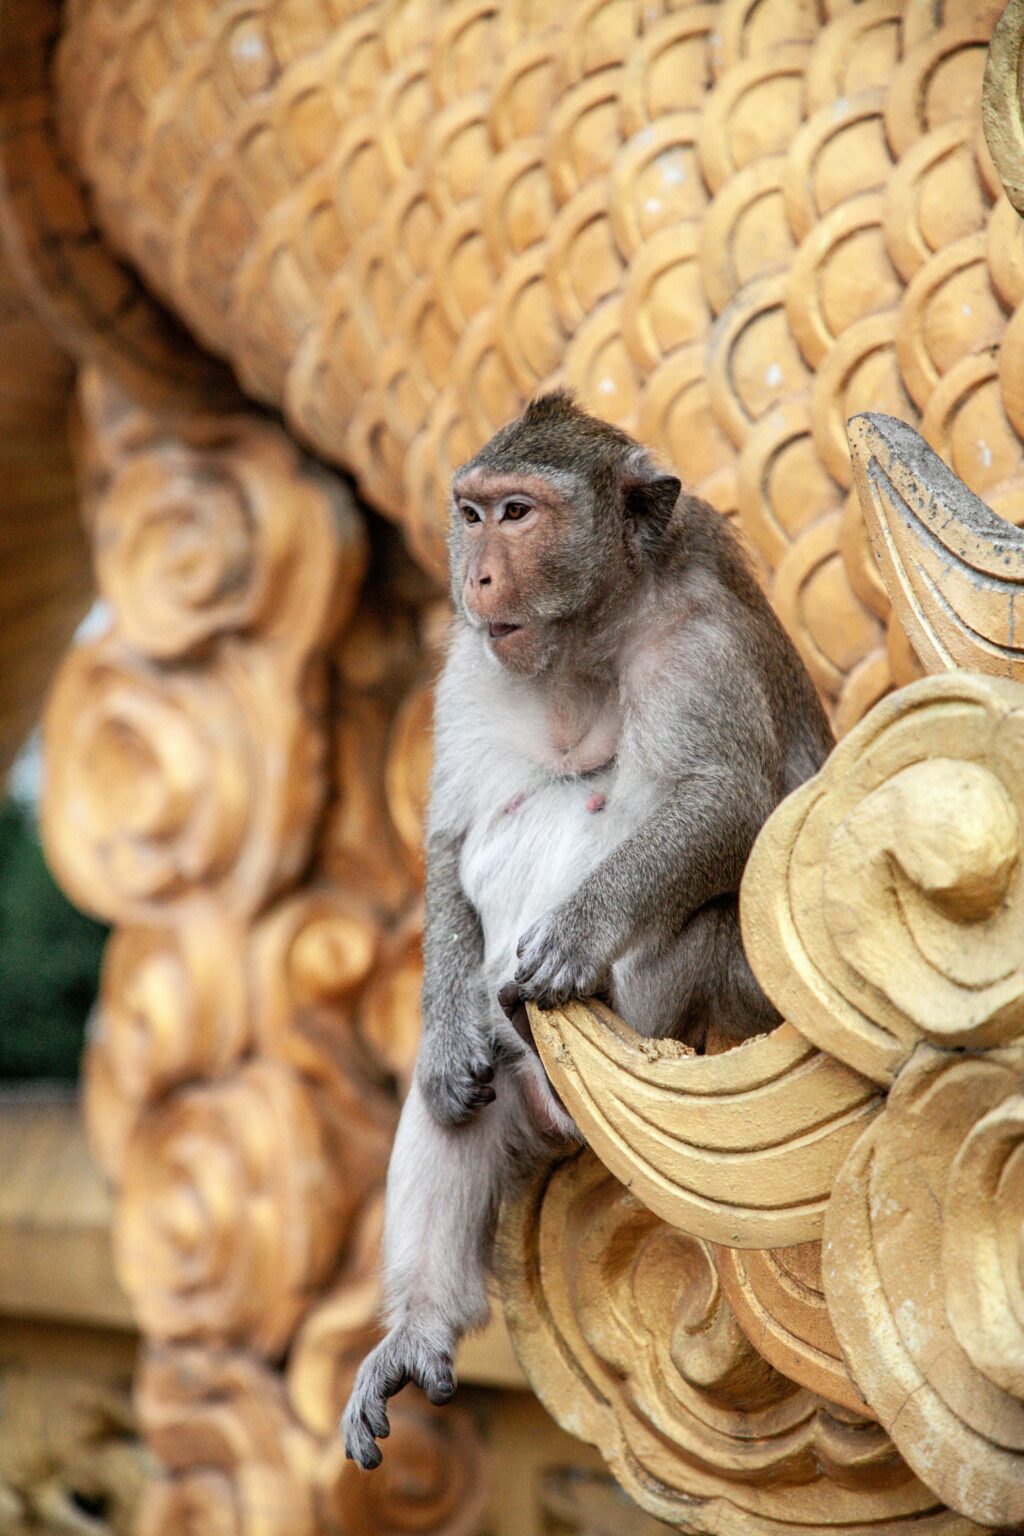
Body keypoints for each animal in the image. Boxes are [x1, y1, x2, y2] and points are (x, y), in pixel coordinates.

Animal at [341, 391, 834, 1469]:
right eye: (472, 513)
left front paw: (573, 937)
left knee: (700, 917)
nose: (477, 574)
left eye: (520, 513)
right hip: (524, 1089)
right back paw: (419, 1325)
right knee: (459, 1093)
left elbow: (724, 801)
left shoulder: (699, 645)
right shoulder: (466, 660)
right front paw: (443, 1032)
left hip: (688, 1021)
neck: (588, 642)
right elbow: (449, 838)